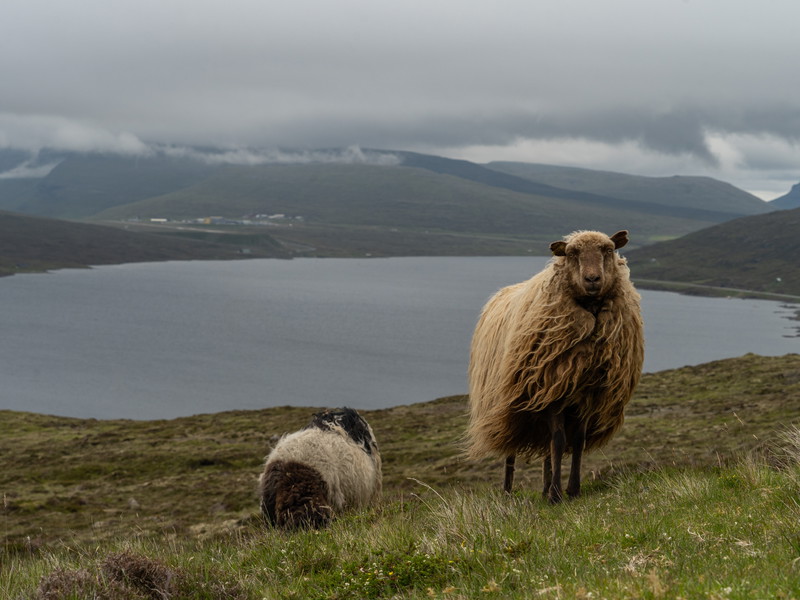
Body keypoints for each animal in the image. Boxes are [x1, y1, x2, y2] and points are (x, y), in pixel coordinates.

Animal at [466, 230, 644, 502]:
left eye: (608, 249)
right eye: (571, 253)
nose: (592, 279)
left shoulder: (585, 396)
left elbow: (577, 441)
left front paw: (572, 489)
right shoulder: (551, 393)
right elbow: (559, 441)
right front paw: (557, 495)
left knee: (547, 446)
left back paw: (544, 487)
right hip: (505, 401)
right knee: (512, 448)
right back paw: (508, 491)